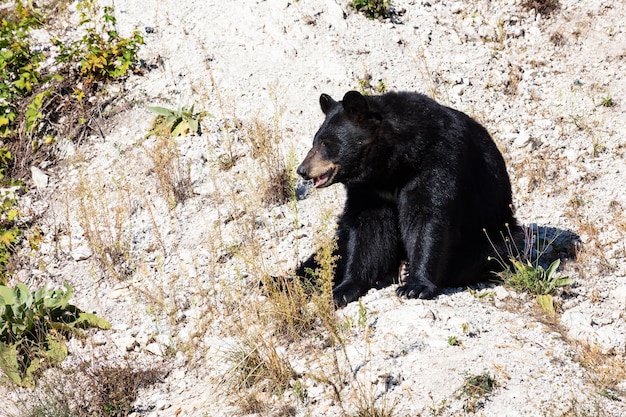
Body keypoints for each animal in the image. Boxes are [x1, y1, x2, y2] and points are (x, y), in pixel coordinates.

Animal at [294, 90, 516, 306]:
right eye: (315, 141)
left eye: (326, 143)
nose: (302, 170)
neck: (392, 165)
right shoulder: (370, 191)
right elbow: (368, 230)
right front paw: (343, 289)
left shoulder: (437, 160)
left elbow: (427, 217)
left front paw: (416, 285)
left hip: (494, 230)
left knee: (489, 253)